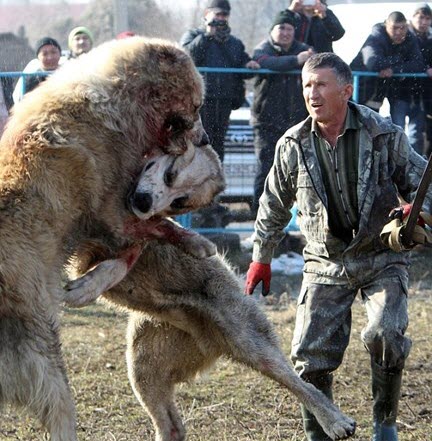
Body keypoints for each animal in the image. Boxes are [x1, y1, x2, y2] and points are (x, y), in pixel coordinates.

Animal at [0, 36, 223, 438]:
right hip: (46, 356)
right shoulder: (114, 212)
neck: (120, 102)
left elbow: (142, 241)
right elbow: (148, 236)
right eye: (196, 105)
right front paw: (199, 243)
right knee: (59, 410)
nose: (206, 138)